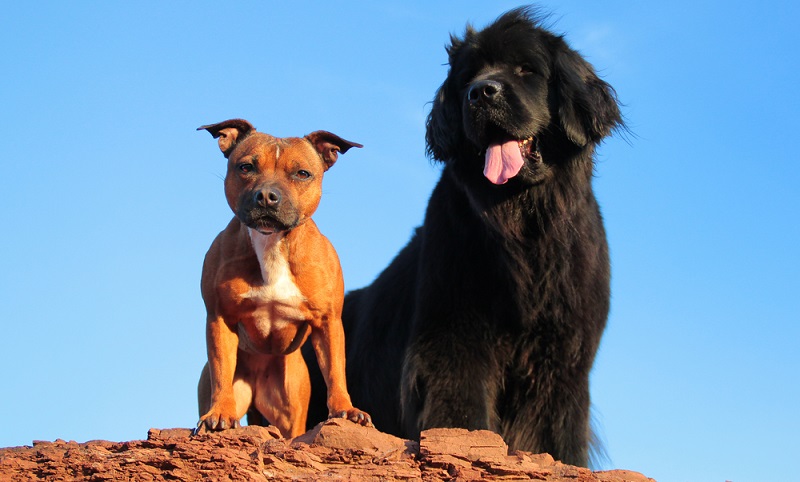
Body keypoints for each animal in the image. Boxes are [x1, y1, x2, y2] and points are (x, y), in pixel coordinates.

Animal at [195, 119, 370, 436]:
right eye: (246, 167)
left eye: (302, 173)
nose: (267, 195)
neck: (272, 244)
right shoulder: (219, 317)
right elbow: (221, 369)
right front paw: (220, 413)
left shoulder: (328, 321)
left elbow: (336, 371)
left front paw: (346, 410)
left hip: (291, 410)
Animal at [306, 7, 624, 466]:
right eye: (468, 77)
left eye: (526, 69)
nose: (482, 93)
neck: (525, 227)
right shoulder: (454, 344)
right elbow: (464, 414)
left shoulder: (562, 363)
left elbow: (556, 436)